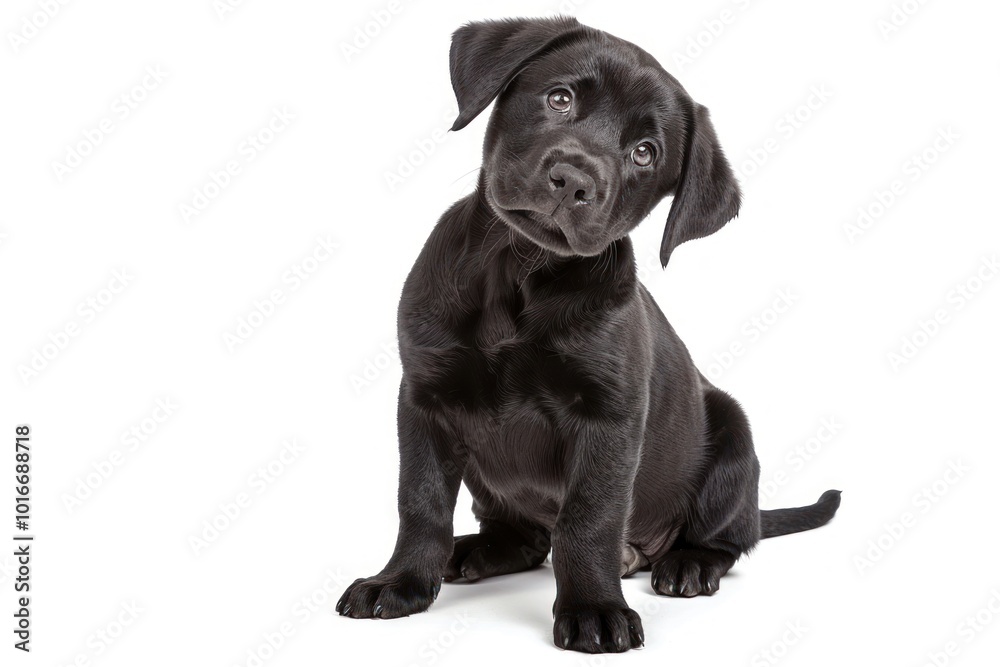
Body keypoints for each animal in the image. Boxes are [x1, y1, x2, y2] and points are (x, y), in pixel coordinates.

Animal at [340, 14, 840, 652]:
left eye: (645, 153)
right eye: (560, 99)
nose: (573, 180)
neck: (520, 271)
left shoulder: (608, 418)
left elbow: (589, 517)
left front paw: (594, 609)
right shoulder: (424, 395)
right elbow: (420, 501)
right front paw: (399, 582)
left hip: (733, 435)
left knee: (729, 538)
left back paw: (688, 564)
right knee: (524, 537)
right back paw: (471, 551)